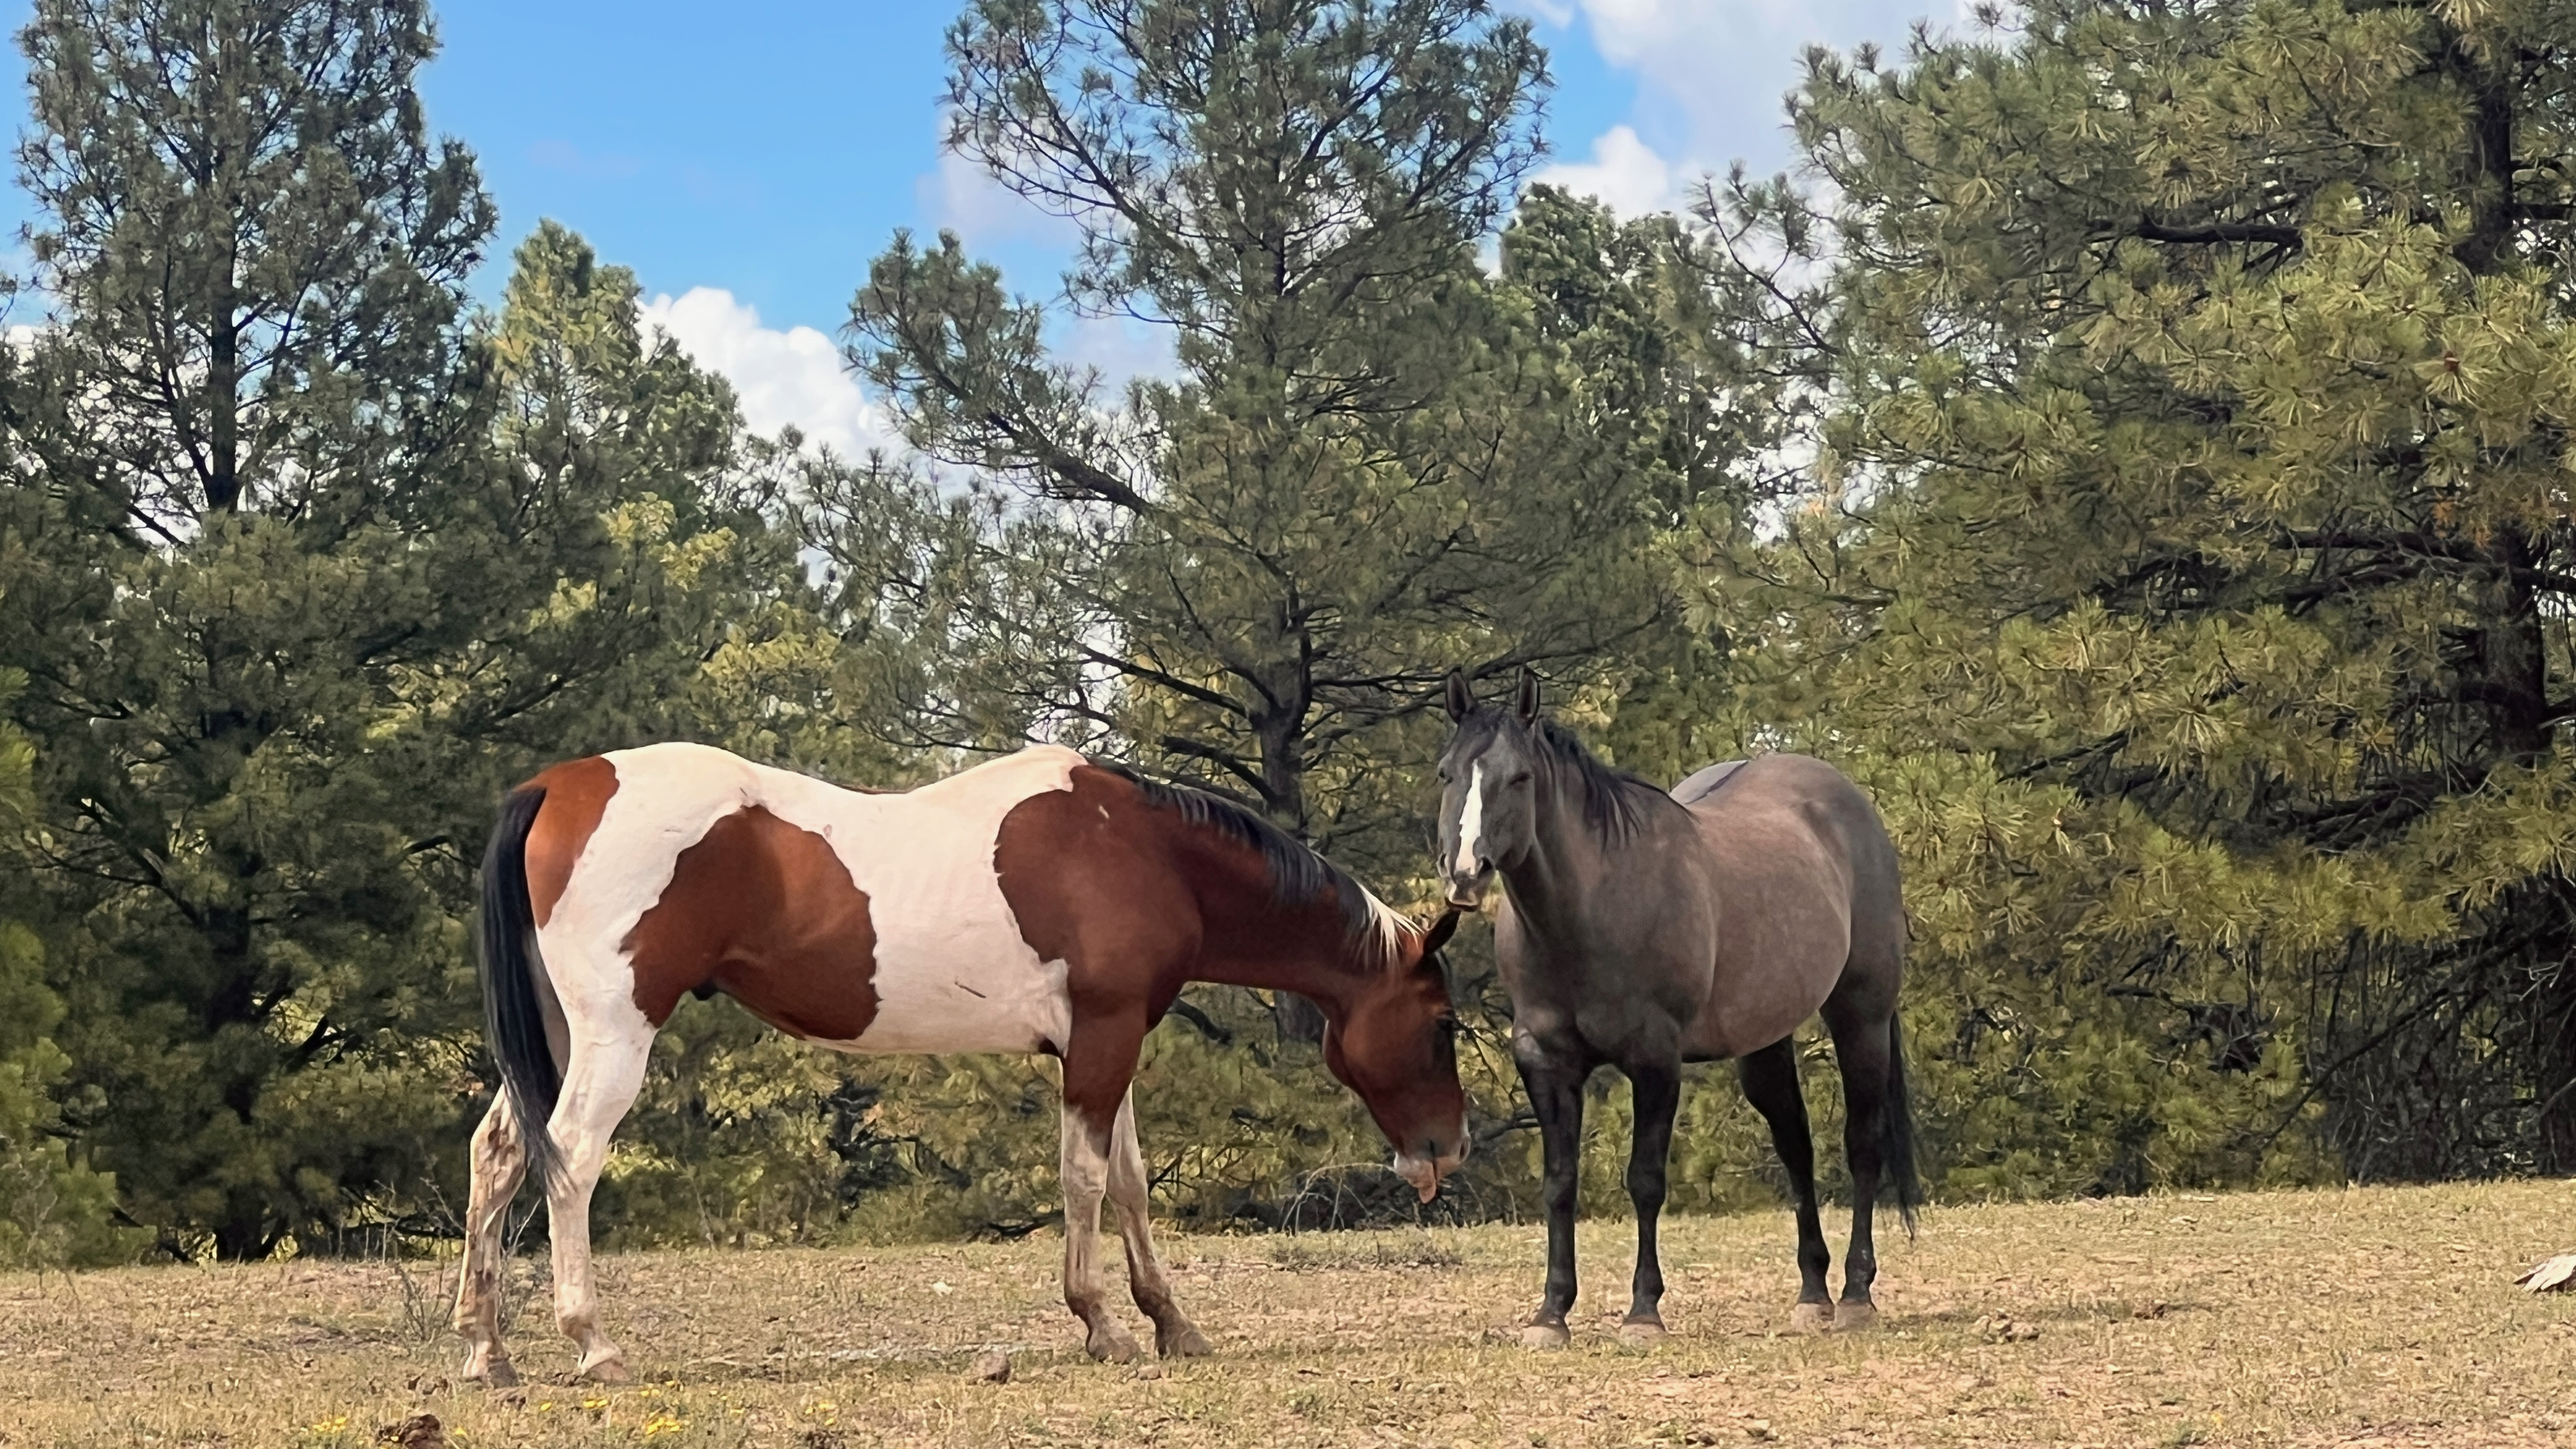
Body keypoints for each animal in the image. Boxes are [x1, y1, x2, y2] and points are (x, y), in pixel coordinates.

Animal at [451, 741, 1468, 1385]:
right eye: (1445, 1022)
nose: (1445, 1152)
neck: (1139, 849)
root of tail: (558, 786)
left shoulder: (1110, 1038)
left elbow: (1130, 1185)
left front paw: (1172, 1323)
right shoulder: (1102, 1039)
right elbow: (1086, 1178)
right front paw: (1101, 1323)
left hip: (557, 1038)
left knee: (500, 1153)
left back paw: (486, 1352)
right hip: (615, 1036)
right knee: (572, 1159)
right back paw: (593, 1345)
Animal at [1433, 669, 1919, 1347]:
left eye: (1520, 778)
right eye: (1446, 772)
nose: (1464, 874)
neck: (1591, 907)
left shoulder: (1654, 1061)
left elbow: (1645, 1182)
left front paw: (1643, 1311)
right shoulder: (1545, 1062)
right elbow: (1559, 1185)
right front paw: (1551, 1313)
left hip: (1862, 1019)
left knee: (1862, 1144)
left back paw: (1854, 1294)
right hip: (1764, 1043)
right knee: (1796, 1147)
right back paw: (1812, 1295)